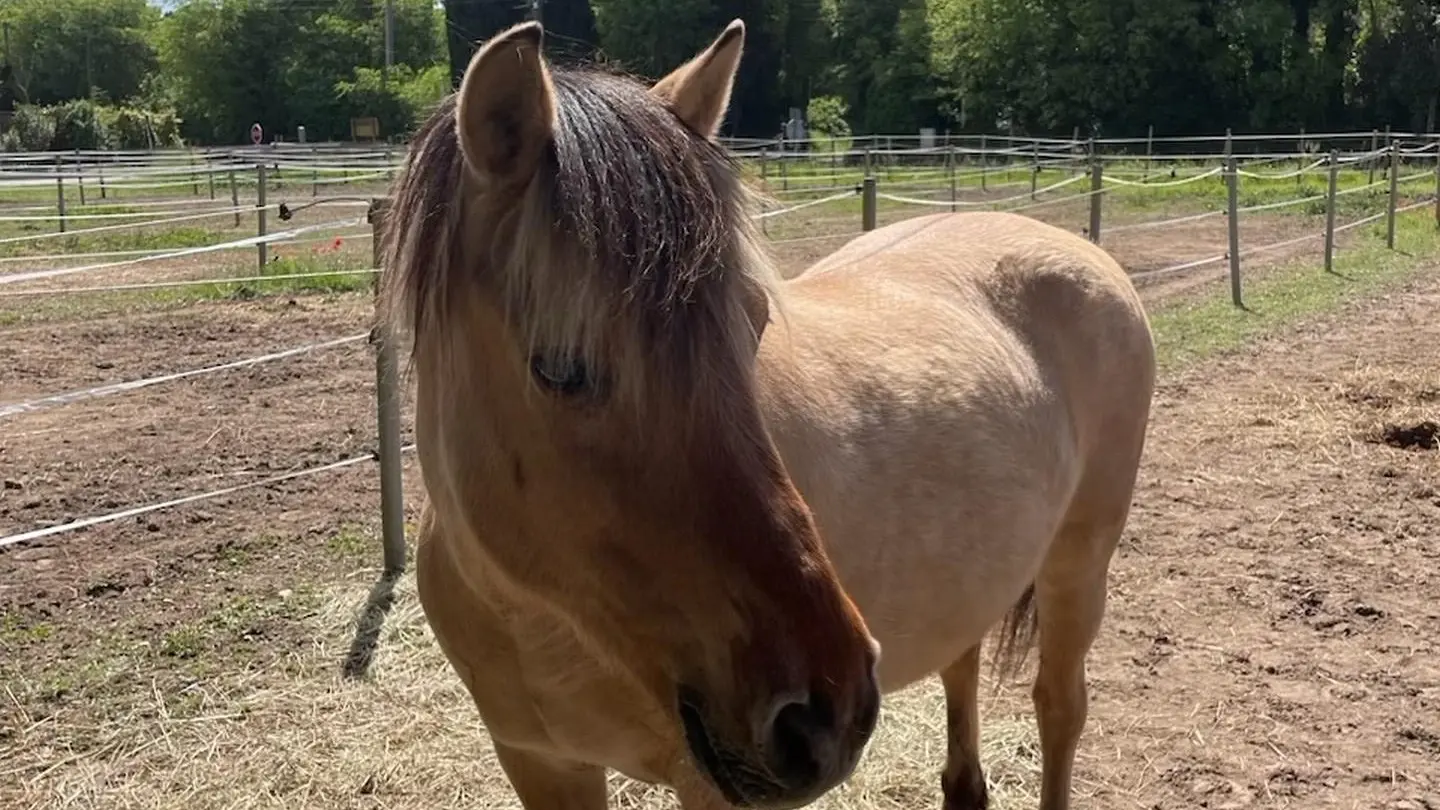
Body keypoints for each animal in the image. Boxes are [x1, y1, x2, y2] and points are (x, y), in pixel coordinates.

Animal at [379, 19, 1156, 810]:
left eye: (753, 326)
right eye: (561, 364)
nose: (828, 711)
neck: (539, 620)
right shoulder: (541, 762)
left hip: (1078, 566)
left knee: (1059, 706)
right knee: (961, 663)